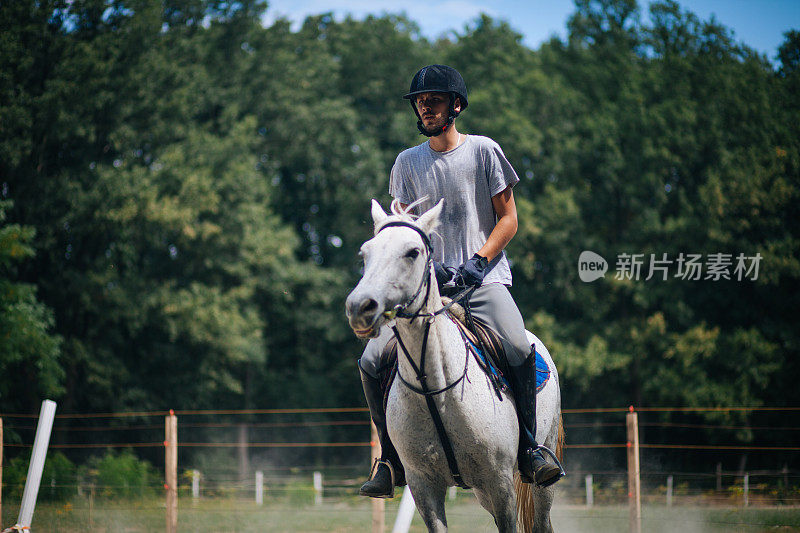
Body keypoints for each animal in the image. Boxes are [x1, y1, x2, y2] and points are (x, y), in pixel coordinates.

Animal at [346, 200, 564, 532]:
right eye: (365, 254)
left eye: (413, 252)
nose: (360, 307)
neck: (434, 386)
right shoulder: (423, 486)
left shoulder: (500, 483)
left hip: (540, 476)